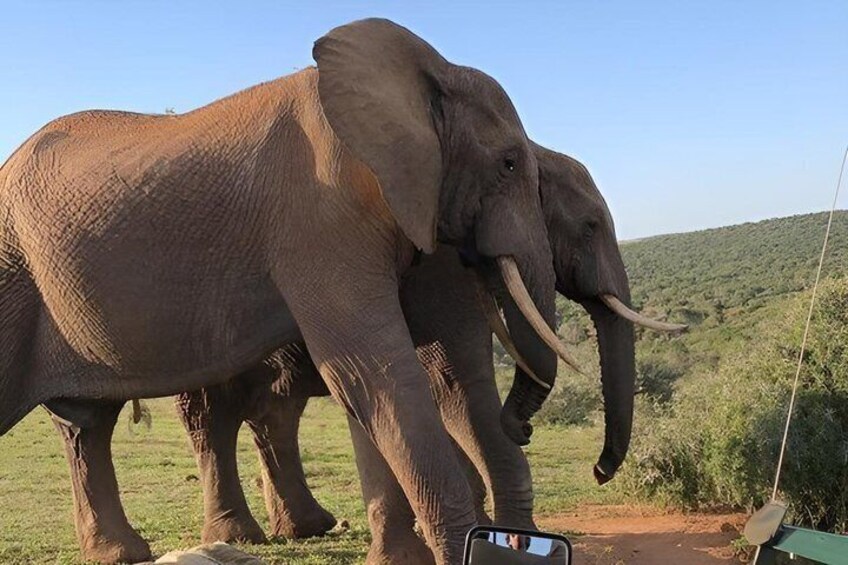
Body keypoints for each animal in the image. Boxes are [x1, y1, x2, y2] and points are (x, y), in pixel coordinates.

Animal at [0, 18, 582, 564]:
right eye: (508, 163)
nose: (523, 428)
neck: (430, 70)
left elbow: (428, 370)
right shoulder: (321, 214)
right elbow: (372, 371)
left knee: (88, 424)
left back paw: (122, 552)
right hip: (13, 273)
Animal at [169, 145, 685, 563]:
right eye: (589, 226)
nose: (599, 471)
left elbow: (446, 390)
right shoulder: (441, 267)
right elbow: (445, 385)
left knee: (274, 414)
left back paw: (304, 529)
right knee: (212, 417)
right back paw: (242, 536)